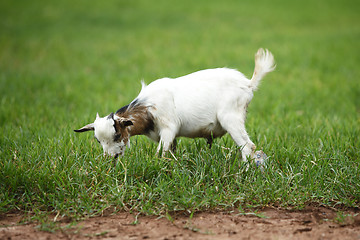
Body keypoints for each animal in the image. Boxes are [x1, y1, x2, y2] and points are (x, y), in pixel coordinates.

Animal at [74, 47, 276, 162]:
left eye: (117, 135)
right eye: (98, 140)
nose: (111, 158)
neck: (148, 107)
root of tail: (248, 84)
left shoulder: (168, 127)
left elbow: (160, 153)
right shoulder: (168, 136)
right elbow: (170, 151)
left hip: (231, 118)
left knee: (248, 146)